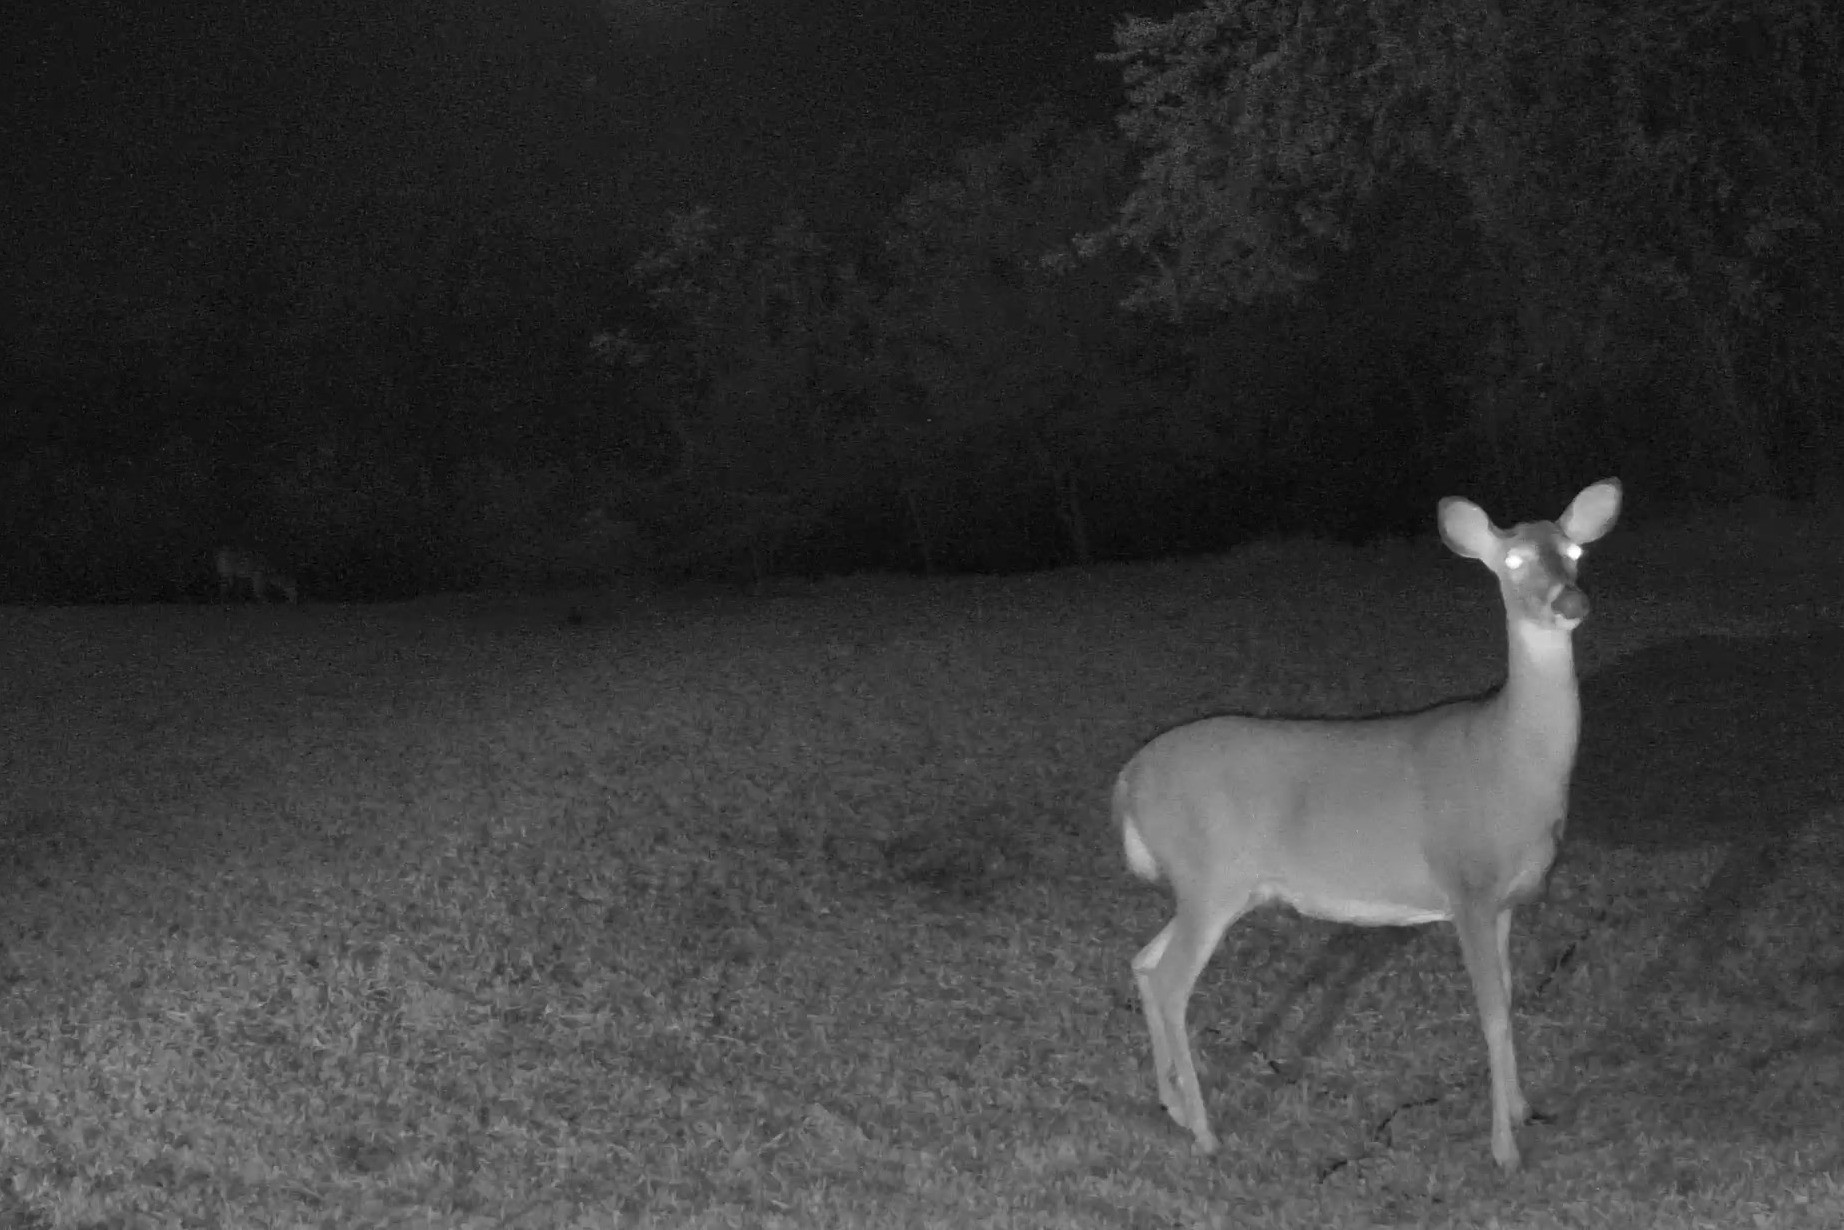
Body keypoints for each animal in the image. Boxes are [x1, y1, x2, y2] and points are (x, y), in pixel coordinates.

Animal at [1116, 479, 1622, 1172]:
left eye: (1574, 551)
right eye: (1514, 559)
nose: (1570, 601)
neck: (1509, 760)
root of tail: (1126, 780)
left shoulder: (1507, 902)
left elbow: (1512, 998)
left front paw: (1521, 1110)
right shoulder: (1466, 884)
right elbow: (1491, 1013)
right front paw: (1504, 1151)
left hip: (1217, 889)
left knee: (1143, 960)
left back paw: (1171, 1106)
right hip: (1208, 875)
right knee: (1170, 984)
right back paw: (1206, 1134)